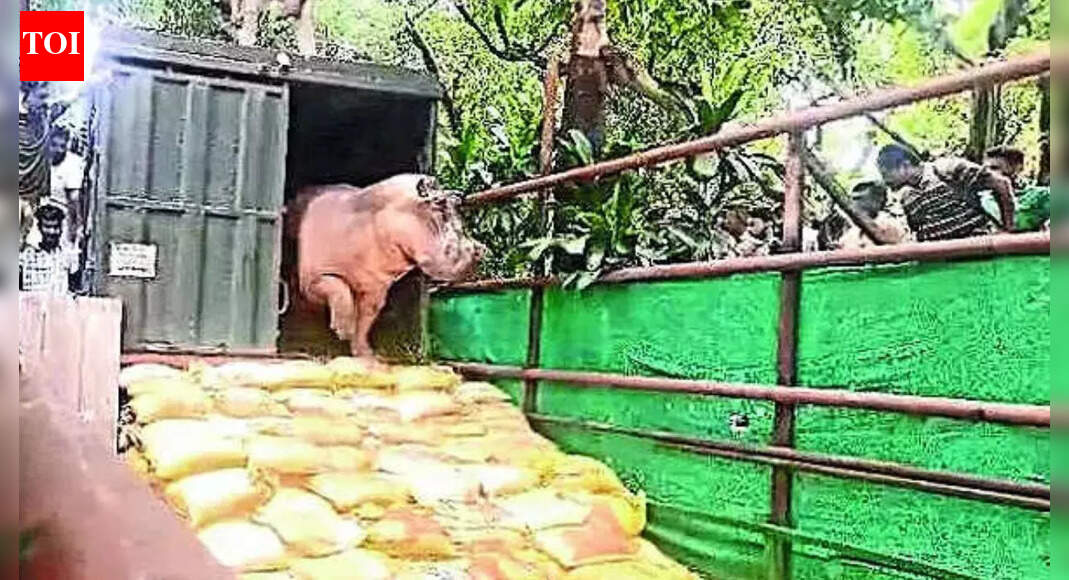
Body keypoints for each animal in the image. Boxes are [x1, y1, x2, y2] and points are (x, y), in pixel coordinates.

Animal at [289, 174, 485, 359]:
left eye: (457, 203)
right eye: (439, 203)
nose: (481, 250)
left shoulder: (376, 289)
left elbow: (366, 320)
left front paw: (367, 354)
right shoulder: (313, 278)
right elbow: (339, 289)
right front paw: (343, 331)